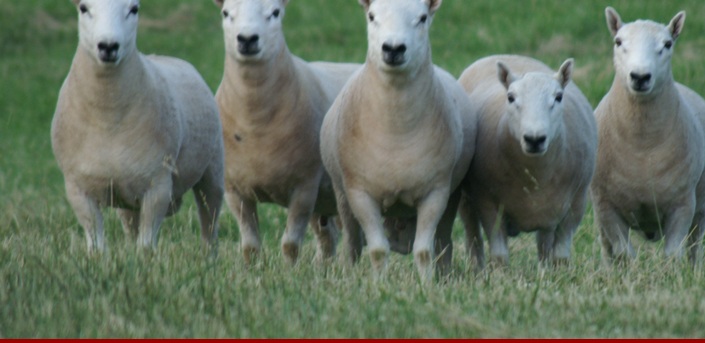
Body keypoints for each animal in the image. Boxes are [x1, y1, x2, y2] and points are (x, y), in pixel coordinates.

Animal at [51, 0, 224, 253]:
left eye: (134, 9)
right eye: (83, 8)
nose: (108, 46)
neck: (107, 119)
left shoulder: (158, 185)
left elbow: (146, 245)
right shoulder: (77, 188)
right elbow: (97, 244)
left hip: (212, 170)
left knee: (209, 225)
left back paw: (208, 257)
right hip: (127, 198)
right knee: (131, 229)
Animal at [213, 0, 358, 264]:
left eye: (275, 13)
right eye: (226, 13)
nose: (247, 39)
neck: (254, 122)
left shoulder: (305, 186)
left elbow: (290, 244)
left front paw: (290, 270)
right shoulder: (234, 190)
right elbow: (250, 246)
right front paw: (252, 270)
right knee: (329, 237)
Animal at [320, 0, 476, 280]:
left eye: (422, 18)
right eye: (372, 17)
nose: (393, 48)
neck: (396, 129)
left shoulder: (435, 193)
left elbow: (423, 251)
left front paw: (427, 285)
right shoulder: (360, 193)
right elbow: (378, 250)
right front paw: (379, 284)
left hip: (452, 195)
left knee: (443, 243)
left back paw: (445, 276)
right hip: (342, 195)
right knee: (352, 244)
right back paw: (349, 275)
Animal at [456, 55, 592, 268]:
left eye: (558, 97)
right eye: (511, 98)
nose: (534, 139)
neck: (535, 173)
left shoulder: (576, 204)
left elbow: (560, 256)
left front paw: (558, 273)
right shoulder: (488, 203)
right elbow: (499, 255)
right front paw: (498, 275)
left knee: (544, 245)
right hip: (465, 198)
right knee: (472, 235)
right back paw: (476, 268)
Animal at [588, 6, 704, 268]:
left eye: (667, 44)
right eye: (618, 42)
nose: (640, 77)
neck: (643, 146)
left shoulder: (683, 204)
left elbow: (673, 253)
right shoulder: (606, 206)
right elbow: (623, 253)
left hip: (700, 208)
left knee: (694, 246)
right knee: (606, 248)